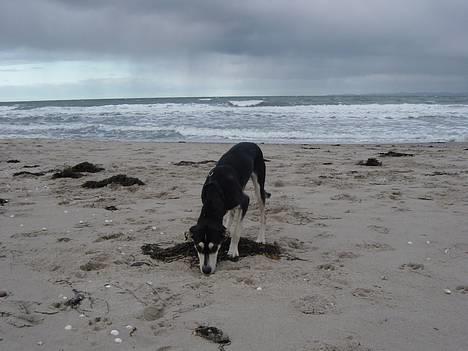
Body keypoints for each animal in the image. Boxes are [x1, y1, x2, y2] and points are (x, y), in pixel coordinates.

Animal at [188, 143, 270, 276]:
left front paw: (232, 251)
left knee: (263, 212)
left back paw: (261, 238)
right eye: (198, 247)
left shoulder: (244, 201)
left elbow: (237, 231)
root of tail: (251, 143)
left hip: (259, 184)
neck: (215, 192)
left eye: (214, 247)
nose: (206, 270)